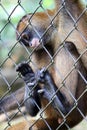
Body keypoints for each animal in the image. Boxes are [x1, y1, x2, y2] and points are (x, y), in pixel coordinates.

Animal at [0, 0, 87, 130]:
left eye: (26, 37)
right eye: (25, 43)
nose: (31, 44)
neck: (55, 30)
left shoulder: (68, 11)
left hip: (79, 103)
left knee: (67, 46)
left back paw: (64, 105)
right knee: (40, 51)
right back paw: (31, 92)